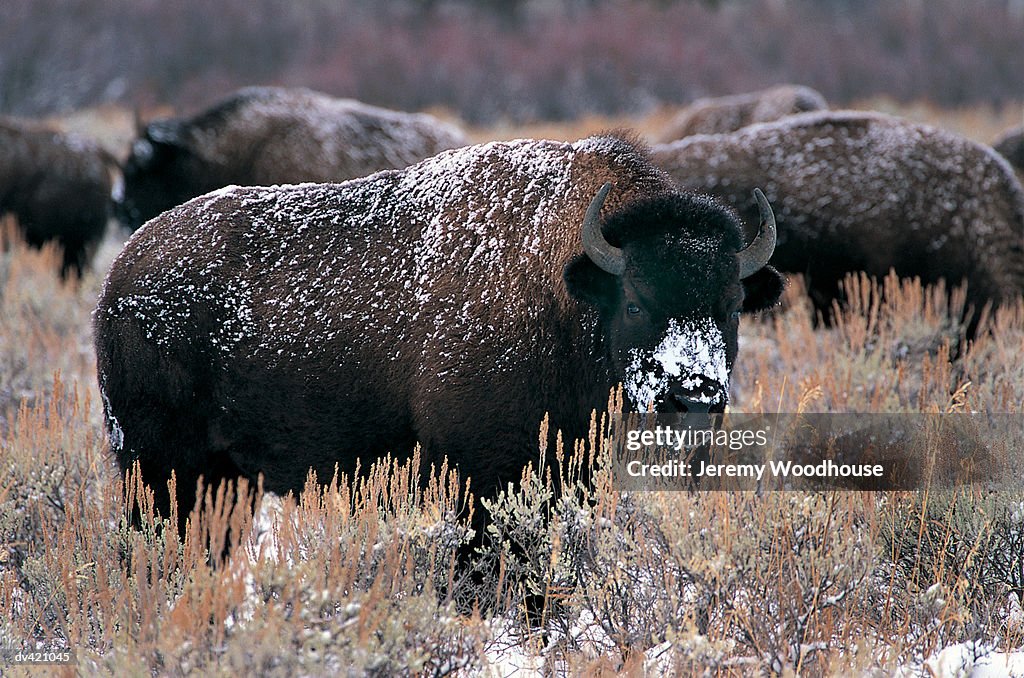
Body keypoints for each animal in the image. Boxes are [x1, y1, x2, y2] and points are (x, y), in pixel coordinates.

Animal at [97, 134, 782, 532]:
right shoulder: (480, 474)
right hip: (158, 468)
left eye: (732, 306)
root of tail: (122, 271)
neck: (564, 288)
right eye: (636, 304)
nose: (695, 396)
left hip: (226, 480)